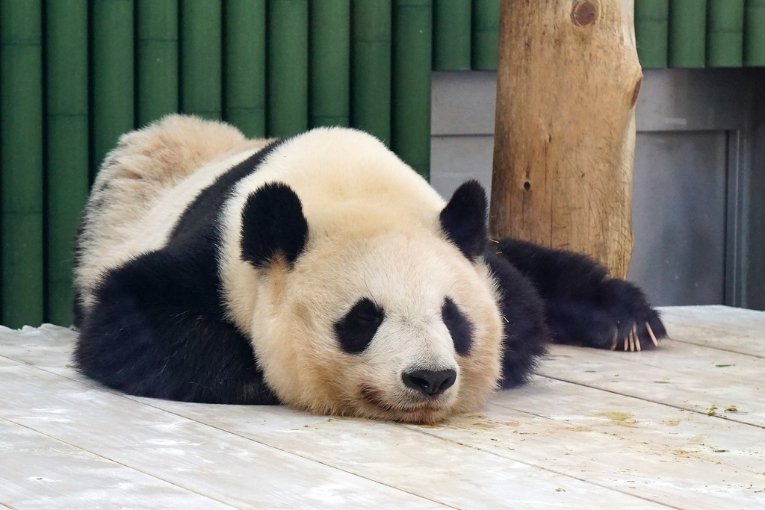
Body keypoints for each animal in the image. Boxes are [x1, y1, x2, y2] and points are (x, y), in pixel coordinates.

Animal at [74, 114, 664, 422]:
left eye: (453, 318)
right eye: (363, 318)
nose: (430, 377)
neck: (349, 187)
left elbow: (523, 314)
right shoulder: (218, 252)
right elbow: (127, 321)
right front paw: (267, 373)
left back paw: (629, 321)